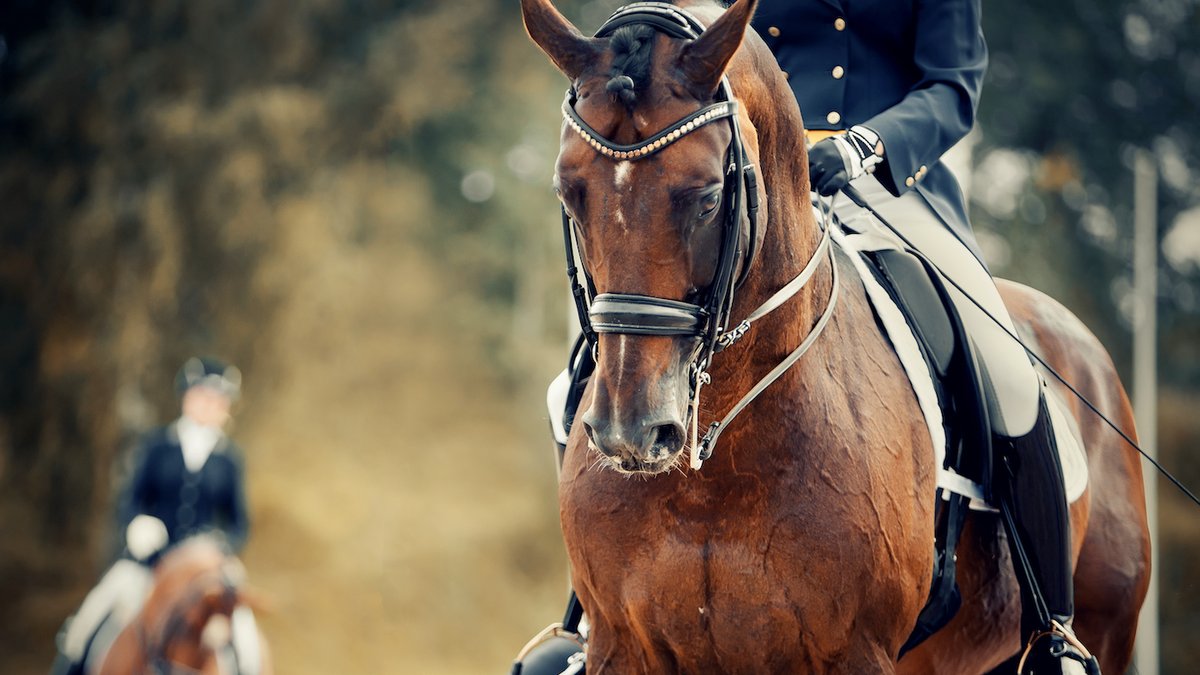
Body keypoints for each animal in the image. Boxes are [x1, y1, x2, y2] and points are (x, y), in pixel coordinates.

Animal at [520, 0, 1151, 672]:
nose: (631, 433)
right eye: (569, 193)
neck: (713, 465)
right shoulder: (623, 646)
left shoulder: (855, 651)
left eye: (709, 197)